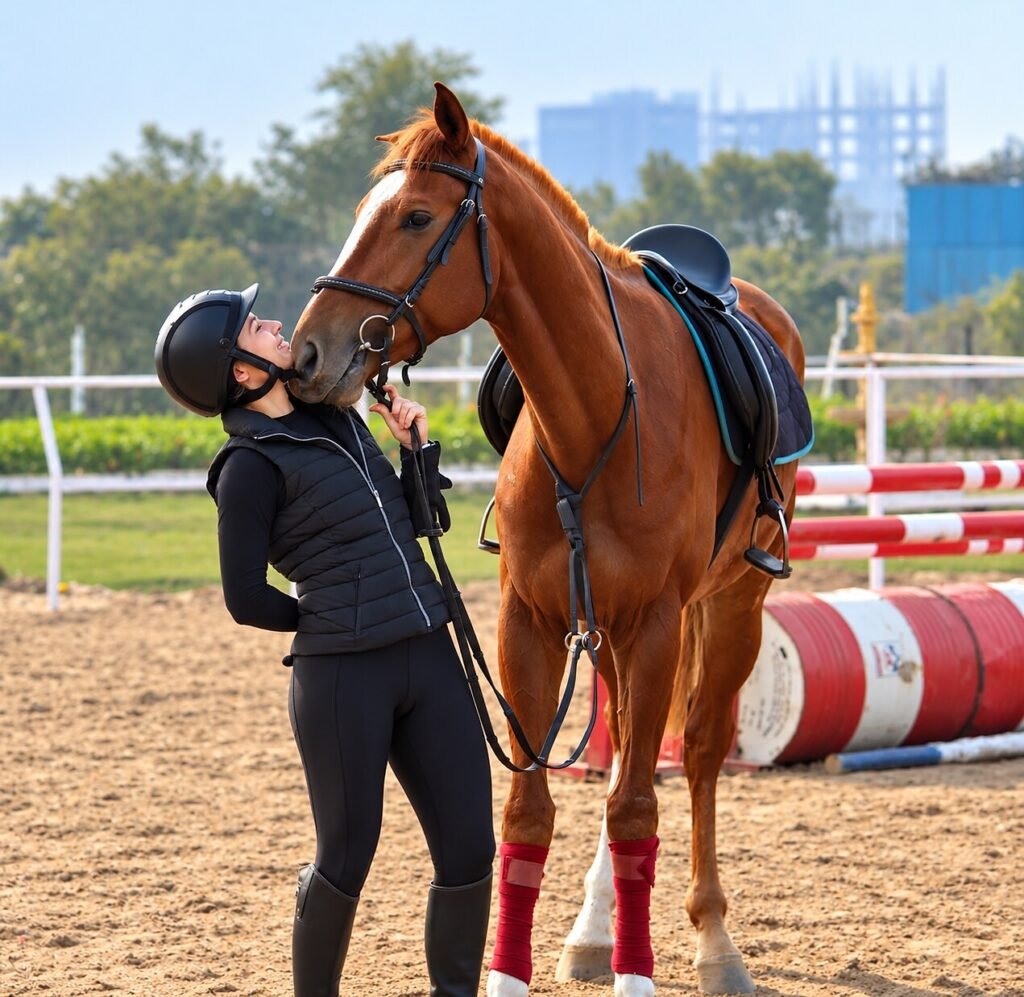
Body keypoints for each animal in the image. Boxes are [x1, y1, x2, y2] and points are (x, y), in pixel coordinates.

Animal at [288, 83, 805, 997]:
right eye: (363, 213)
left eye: (417, 217)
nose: (312, 350)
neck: (595, 417)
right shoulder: (531, 621)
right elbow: (531, 811)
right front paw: (511, 975)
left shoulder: (658, 624)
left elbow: (638, 805)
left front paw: (643, 973)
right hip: (610, 636)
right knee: (631, 748)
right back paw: (594, 931)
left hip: (732, 607)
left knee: (699, 753)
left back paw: (713, 940)